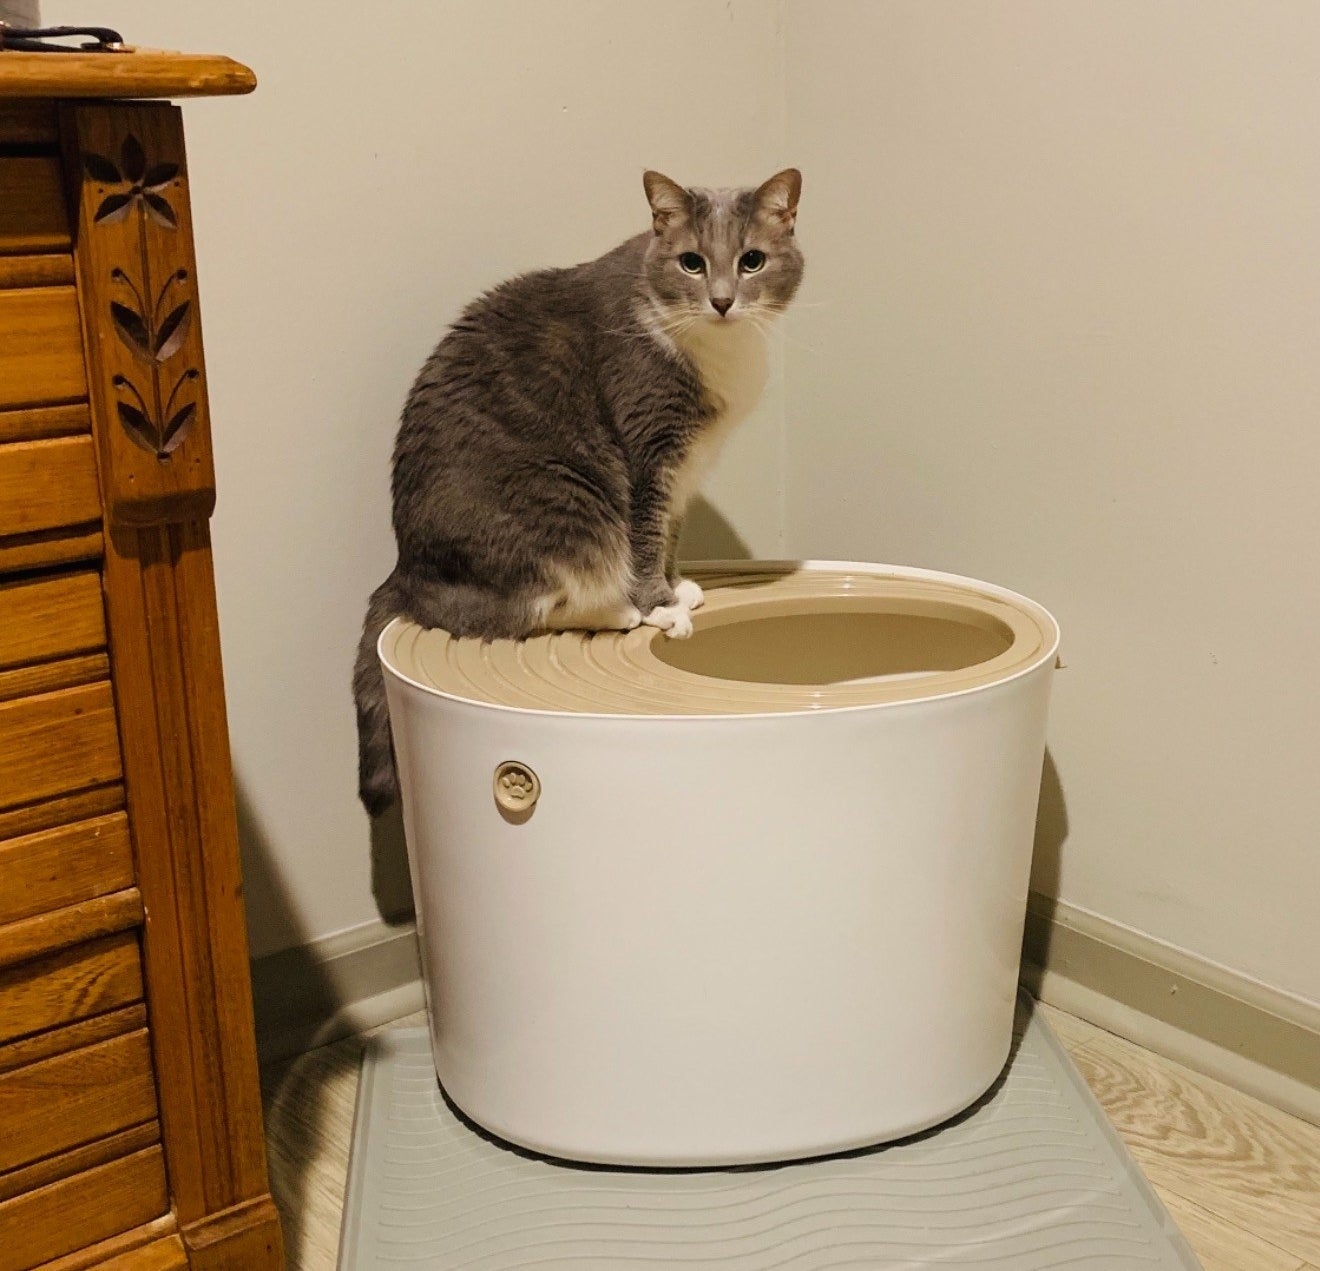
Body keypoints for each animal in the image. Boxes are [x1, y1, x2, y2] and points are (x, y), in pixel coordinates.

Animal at [353, 166, 802, 813]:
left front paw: (677, 588)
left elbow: (668, 533)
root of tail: (406, 565)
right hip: (564, 505)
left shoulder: (686, 468)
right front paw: (659, 606)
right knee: (517, 609)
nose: (721, 301)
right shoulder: (647, 452)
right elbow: (644, 536)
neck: (717, 350)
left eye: (752, 261)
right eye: (692, 263)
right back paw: (622, 613)